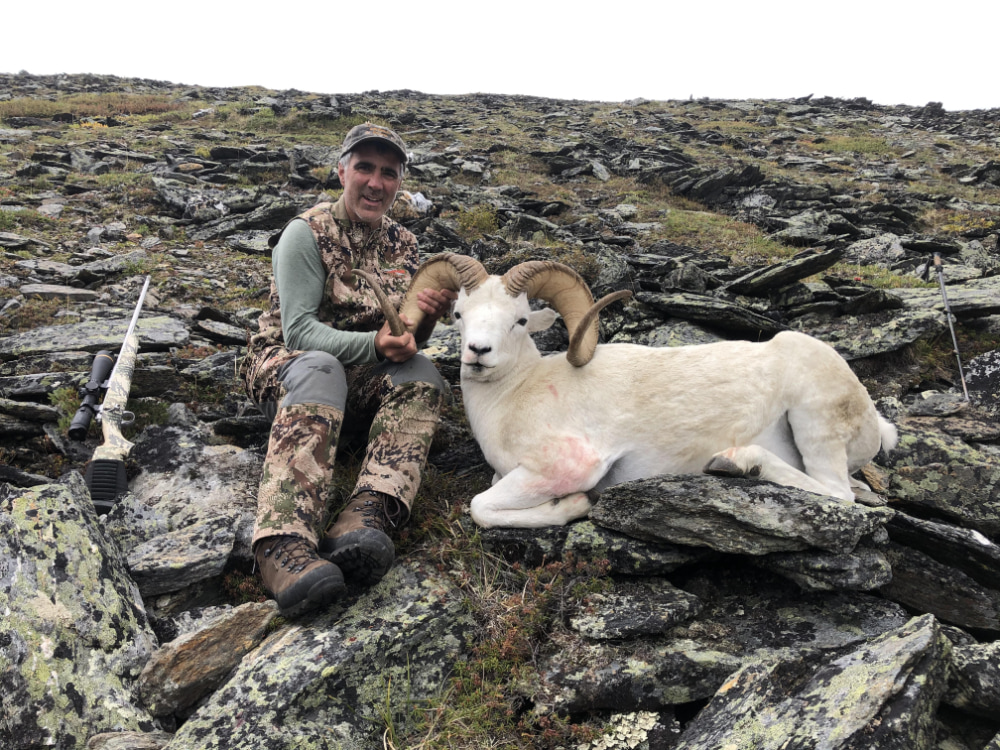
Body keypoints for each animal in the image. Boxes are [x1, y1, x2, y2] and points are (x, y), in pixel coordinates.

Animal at [370, 256, 900, 532]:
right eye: (459, 314)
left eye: (519, 320)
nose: (478, 353)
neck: (513, 398)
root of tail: (876, 423)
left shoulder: (567, 467)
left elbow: (481, 507)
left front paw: (575, 507)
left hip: (814, 425)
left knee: (838, 494)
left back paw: (735, 461)